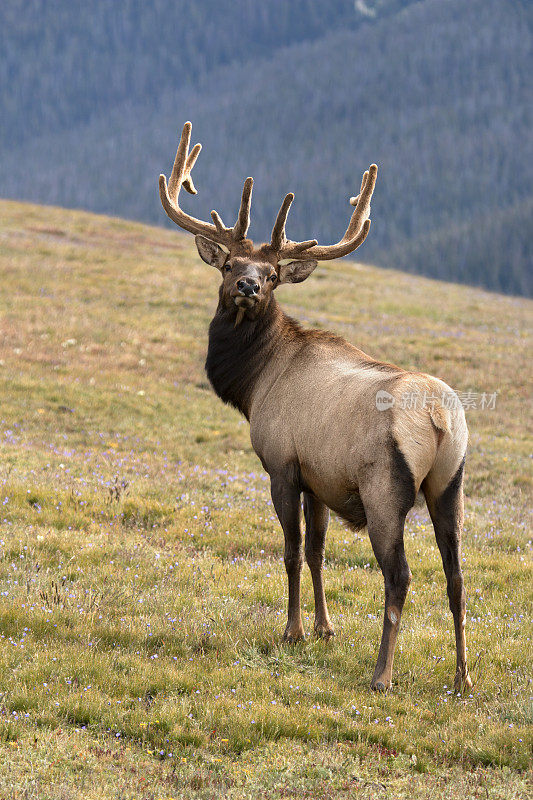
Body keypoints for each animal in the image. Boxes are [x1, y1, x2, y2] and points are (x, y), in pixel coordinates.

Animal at [158, 122, 470, 692]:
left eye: (273, 273)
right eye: (231, 262)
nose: (247, 285)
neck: (254, 384)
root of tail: (441, 419)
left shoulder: (282, 464)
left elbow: (290, 551)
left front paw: (294, 631)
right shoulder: (318, 478)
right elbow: (318, 550)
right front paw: (326, 629)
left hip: (385, 490)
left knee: (400, 578)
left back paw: (381, 674)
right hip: (449, 485)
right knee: (457, 577)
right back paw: (462, 678)